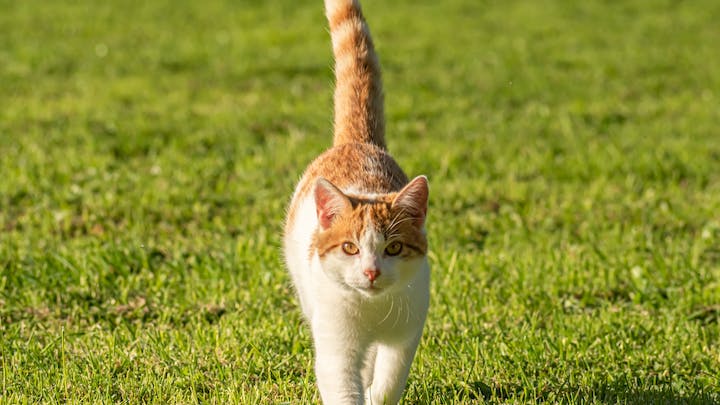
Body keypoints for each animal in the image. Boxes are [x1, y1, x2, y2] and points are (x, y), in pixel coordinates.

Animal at [280, 0, 428, 404]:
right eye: (349, 248)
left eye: (394, 248)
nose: (371, 272)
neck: (372, 309)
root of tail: (357, 142)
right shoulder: (336, 346)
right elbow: (344, 384)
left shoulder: (407, 332)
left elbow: (390, 380)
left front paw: (378, 393)